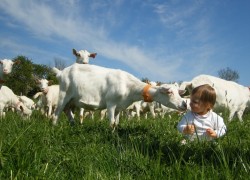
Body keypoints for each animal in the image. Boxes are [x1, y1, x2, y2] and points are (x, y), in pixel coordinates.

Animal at [51, 64, 187, 129]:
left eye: (178, 92)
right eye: (169, 92)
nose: (184, 104)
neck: (129, 86)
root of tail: (60, 73)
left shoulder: (119, 107)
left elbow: (116, 123)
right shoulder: (111, 103)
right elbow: (111, 123)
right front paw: (110, 135)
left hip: (72, 100)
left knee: (67, 110)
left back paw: (74, 124)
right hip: (64, 94)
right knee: (57, 112)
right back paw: (54, 126)